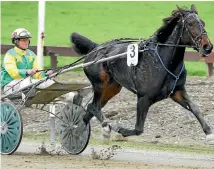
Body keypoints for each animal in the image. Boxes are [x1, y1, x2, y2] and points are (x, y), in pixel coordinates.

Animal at [70, 4, 214, 143]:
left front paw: (209, 133)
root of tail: (95, 48)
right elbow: (138, 129)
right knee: (94, 107)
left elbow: (195, 108)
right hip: (99, 84)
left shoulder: (177, 92)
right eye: (190, 24)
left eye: (203, 23)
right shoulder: (143, 97)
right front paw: (118, 130)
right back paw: (105, 128)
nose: (207, 47)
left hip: (112, 88)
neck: (164, 61)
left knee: (91, 108)